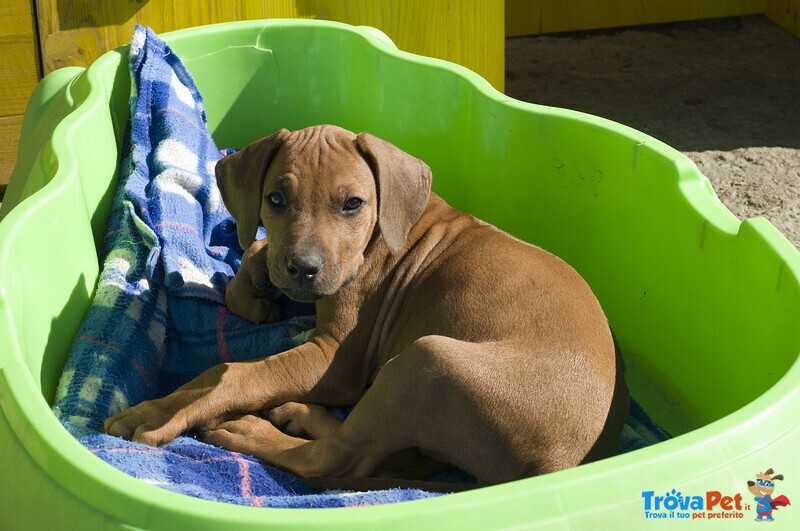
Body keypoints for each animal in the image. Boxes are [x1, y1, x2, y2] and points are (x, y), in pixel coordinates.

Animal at [106, 124, 628, 486]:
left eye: (352, 203)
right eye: (275, 198)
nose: (303, 268)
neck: (384, 232)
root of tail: (558, 467)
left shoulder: (334, 360)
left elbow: (230, 372)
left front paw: (155, 413)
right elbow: (255, 248)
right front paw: (256, 296)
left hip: (428, 361)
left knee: (336, 458)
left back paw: (250, 431)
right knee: (380, 450)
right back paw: (300, 414)